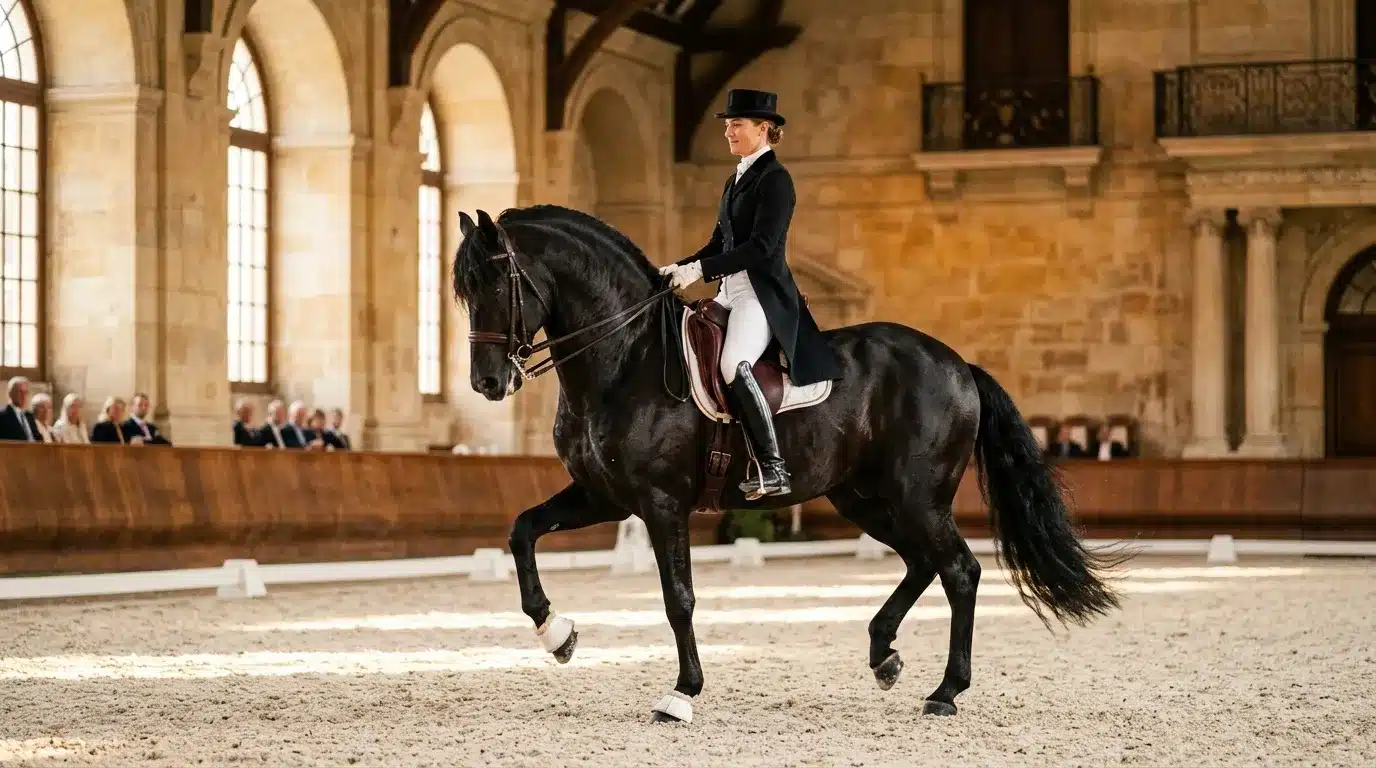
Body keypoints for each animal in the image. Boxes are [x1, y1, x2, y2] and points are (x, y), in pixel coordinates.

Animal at [452, 204, 1123, 724]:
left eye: (496, 285)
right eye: (463, 292)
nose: (487, 383)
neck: (626, 357)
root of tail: (958, 364)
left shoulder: (662, 502)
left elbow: (679, 598)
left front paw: (682, 694)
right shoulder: (604, 496)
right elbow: (522, 531)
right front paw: (556, 634)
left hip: (916, 495)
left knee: (959, 569)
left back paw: (945, 691)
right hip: (864, 497)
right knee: (922, 562)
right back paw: (884, 656)